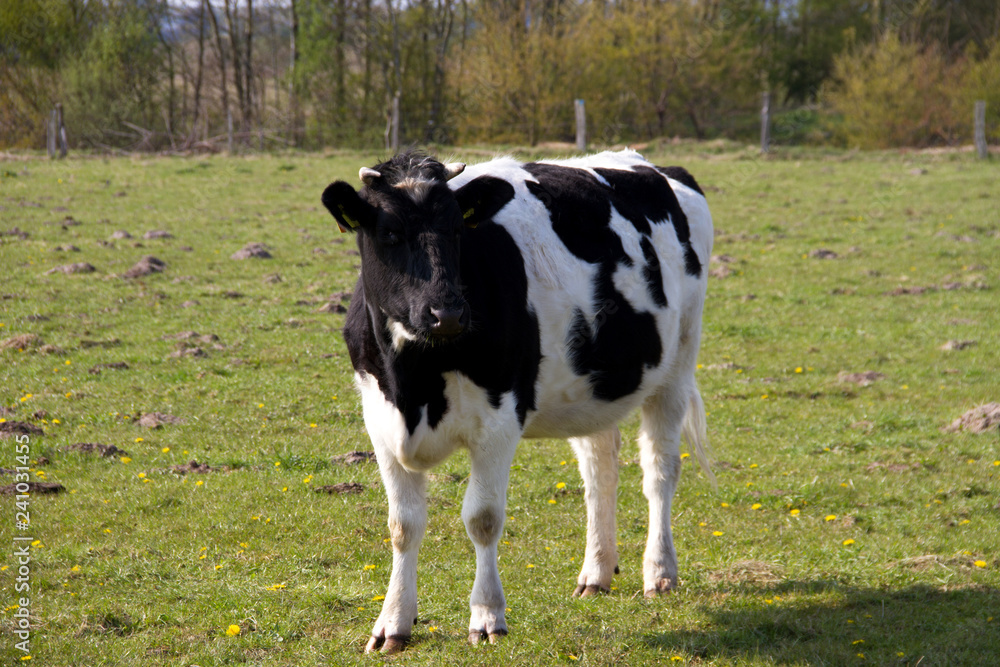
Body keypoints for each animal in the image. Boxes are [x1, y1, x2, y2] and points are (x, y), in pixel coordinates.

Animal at [324, 149, 716, 656]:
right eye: (389, 232)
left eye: (457, 229)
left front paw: (487, 616)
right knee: (600, 473)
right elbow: (403, 526)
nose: (447, 313)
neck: (415, 383)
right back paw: (597, 572)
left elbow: (482, 518)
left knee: (660, 471)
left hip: (677, 365)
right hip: (591, 390)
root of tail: (654, 165)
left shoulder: (498, 422)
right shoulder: (380, 422)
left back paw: (660, 572)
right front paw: (393, 623)